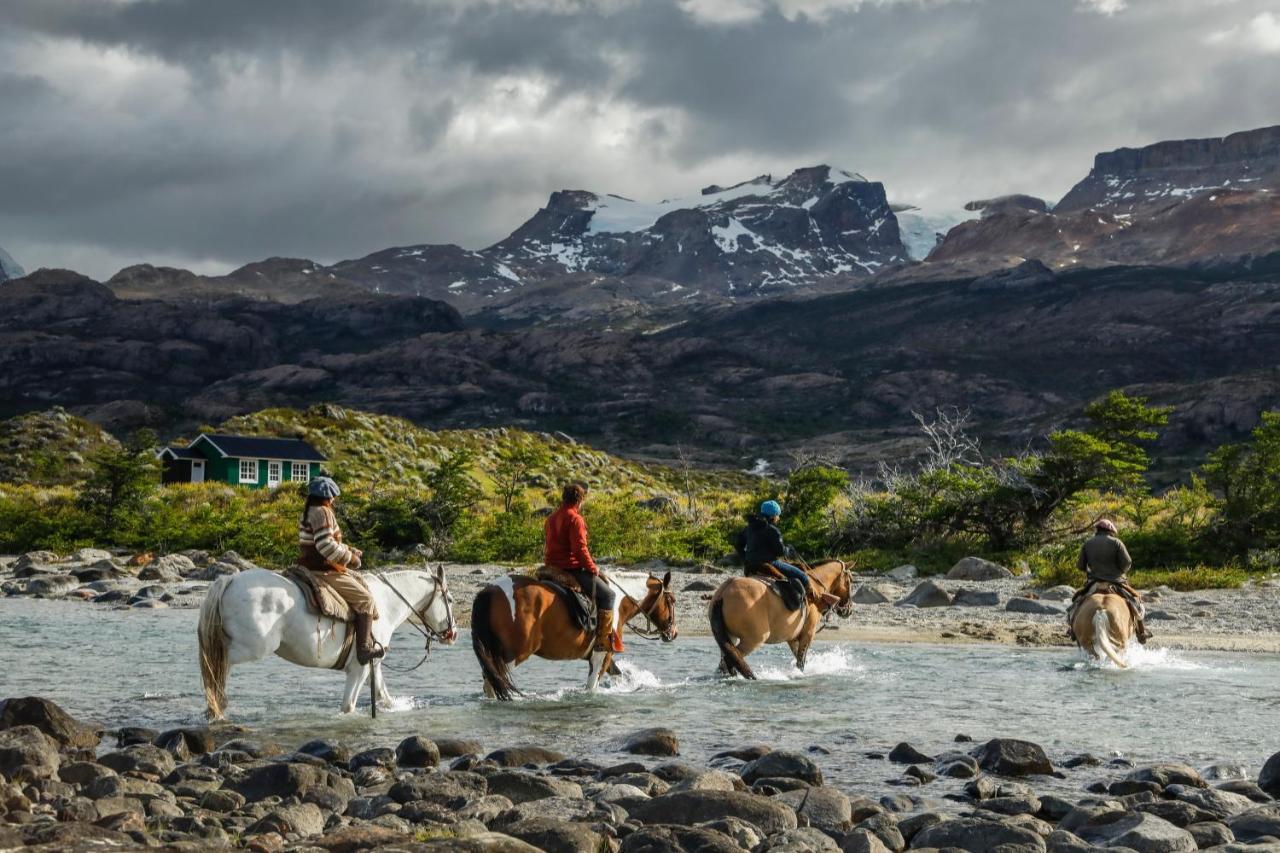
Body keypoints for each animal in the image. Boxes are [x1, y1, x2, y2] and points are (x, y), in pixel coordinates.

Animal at [197, 563, 458, 717]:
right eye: (450, 599)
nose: (452, 634)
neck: (384, 604)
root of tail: (229, 580)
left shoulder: (372, 664)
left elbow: (384, 695)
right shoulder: (360, 667)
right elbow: (348, 706)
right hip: (252, 648)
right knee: (216, 663)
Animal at [471, 571, 680, 696]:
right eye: (672, 600)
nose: (674, 633)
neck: (619, 601)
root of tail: (490, 591)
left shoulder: (604, 655)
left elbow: (618, 674)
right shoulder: (602, 654)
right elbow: (592, 687)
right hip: (512, 655)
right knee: (494, 681)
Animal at [711, 558, 849, 676]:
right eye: (849, 581)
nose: (848, 610)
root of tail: (723, 592)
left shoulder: (793, 638)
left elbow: (798, 657)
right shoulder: (808, 634)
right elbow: (801, 661)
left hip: (730, 637)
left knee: (725, 662)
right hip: (753, 640)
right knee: (731, 660)